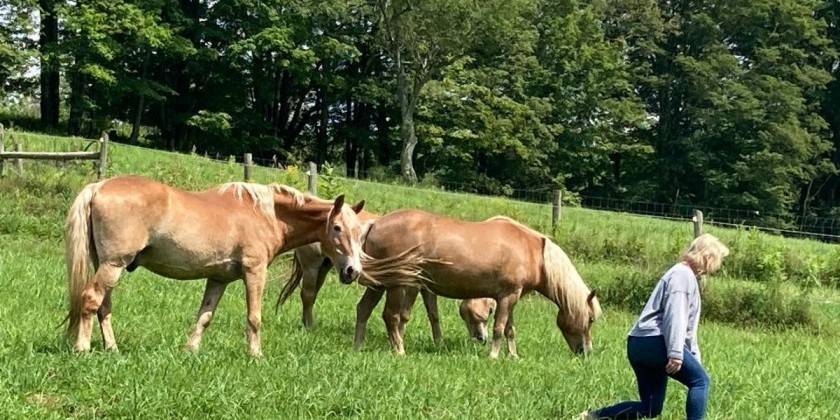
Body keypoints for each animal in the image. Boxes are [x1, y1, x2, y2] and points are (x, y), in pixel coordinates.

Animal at [64, 176, 426, 356]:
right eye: (337, 228)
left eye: (359, 232)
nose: (353, 271)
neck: (265, 214)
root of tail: (98, 186)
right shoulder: (255, 271)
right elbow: (254, 317)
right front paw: (255, 354)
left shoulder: (218, 279)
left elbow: (205, 315)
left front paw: (190, 350)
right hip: (113, 265)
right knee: (92, 301)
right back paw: (82, 348)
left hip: (107, 265)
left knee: (104, 307)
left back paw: (111, 349)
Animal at [364, 209, 600, 358]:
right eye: (590, 319)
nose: (586, 352)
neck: (533, 253)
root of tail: (375, 223)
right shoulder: (506, 297)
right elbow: (499, 328)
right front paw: (494, 356)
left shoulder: (511, 298)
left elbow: (510, 329)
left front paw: (513, 355)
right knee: (391, 316)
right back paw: (399, 350)